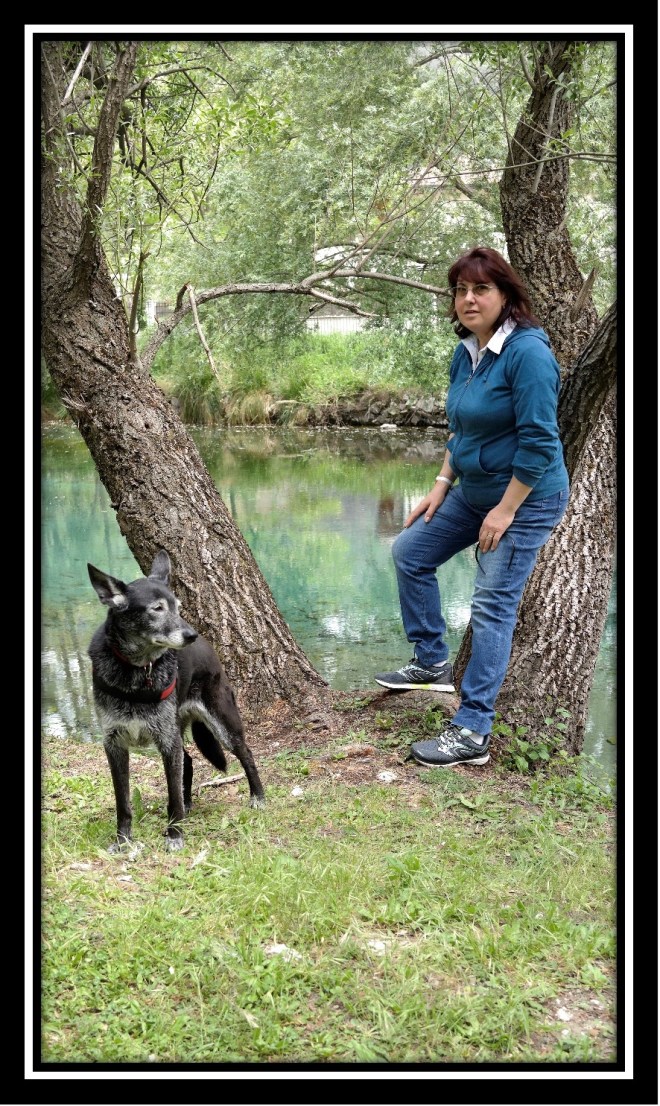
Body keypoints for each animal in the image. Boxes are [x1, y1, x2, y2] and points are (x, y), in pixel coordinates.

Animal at [87, 549, 265, 851]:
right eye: (157, 609)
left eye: (178, 607)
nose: (190, 635)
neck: (138, 672)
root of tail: (207, 645)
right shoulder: (114, 744)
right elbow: (123, 802)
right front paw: (123, 841)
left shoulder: (167, 743)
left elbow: (172, 796)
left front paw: (174, 835)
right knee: (189, 762)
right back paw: (190, 805)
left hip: (224, 724)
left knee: (247, 754)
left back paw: (258, 796)